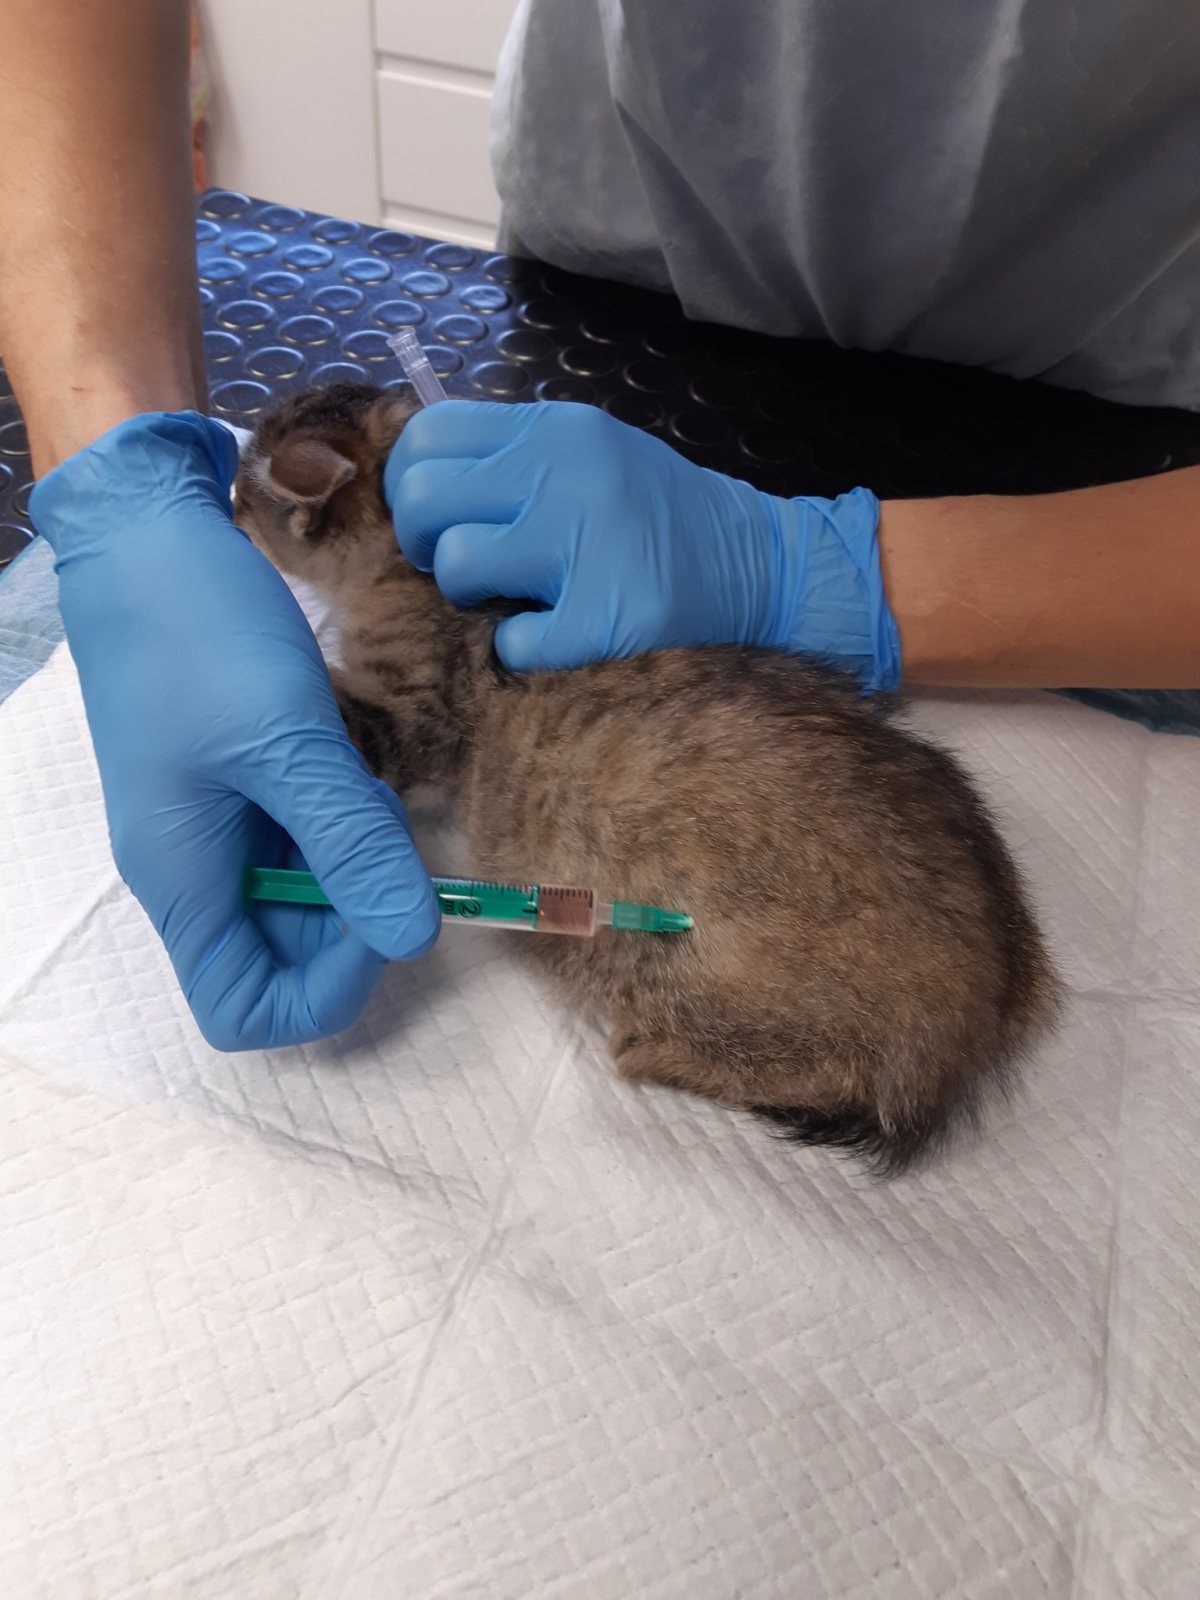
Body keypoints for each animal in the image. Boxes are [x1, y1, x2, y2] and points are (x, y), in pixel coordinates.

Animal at [235, 382, 1061, 1174]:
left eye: (248, 489)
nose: (230, 501)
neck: (399, 569)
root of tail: (974, 1031)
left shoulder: (413, 715)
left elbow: (342, 710)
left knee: (828, 1072)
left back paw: (656, 1052)